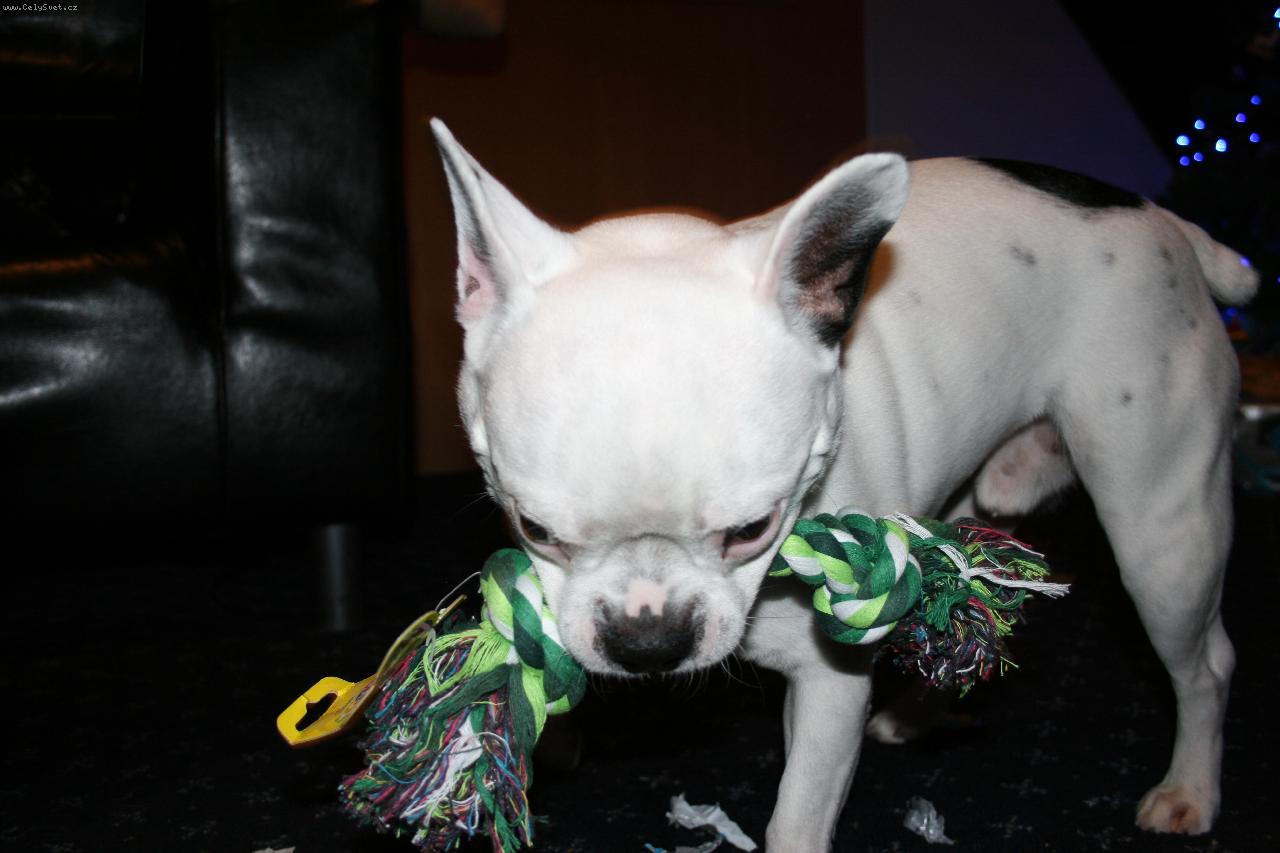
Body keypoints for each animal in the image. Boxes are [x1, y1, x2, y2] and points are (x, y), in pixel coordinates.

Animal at [429, 119, 1256, 850]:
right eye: (535, 530)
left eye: (754, 529)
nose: (649, 636)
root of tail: (1167, 223)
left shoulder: (828, 685)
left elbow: (799, 814)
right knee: (959, 587)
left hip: (1160, 533)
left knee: (1206, 664)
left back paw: (1191, 787)